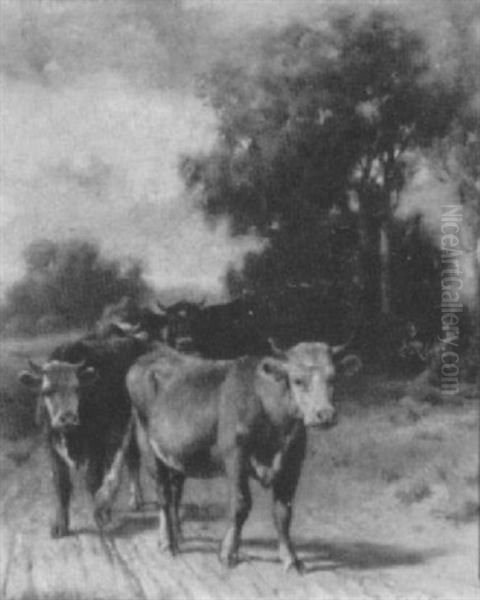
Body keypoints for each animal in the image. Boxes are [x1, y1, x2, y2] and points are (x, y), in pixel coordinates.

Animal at [18, 330, 152, 536]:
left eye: (77, 389)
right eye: (47, 391)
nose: (67, 418)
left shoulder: (97, 443)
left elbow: (92, 480)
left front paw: (99, 516)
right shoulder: (50, 445)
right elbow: (61, 484)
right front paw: (60, 525)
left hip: (133, 422)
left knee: (132, 458)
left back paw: (134, 498)